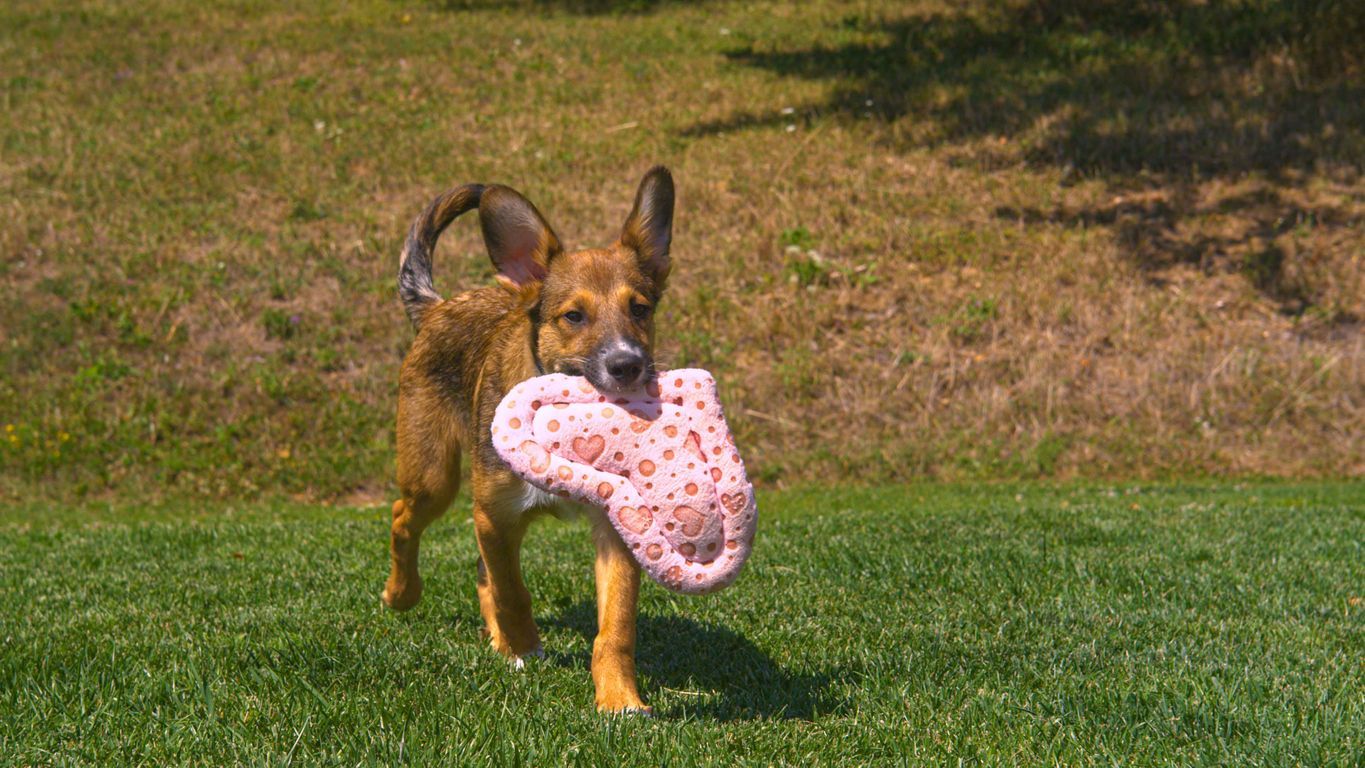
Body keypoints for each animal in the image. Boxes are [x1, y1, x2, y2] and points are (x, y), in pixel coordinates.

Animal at [382, 168, 674, 714]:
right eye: (573, 317)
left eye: (640, 309)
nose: (628, 364)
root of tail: (438, 308)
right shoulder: (495, 514)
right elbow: (512, 592)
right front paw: (523, 649)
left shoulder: (615, 526)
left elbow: (616, 626)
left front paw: (619, 697)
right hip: (434, 476)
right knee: (403, 519)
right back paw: (401, 594)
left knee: (480, 571)